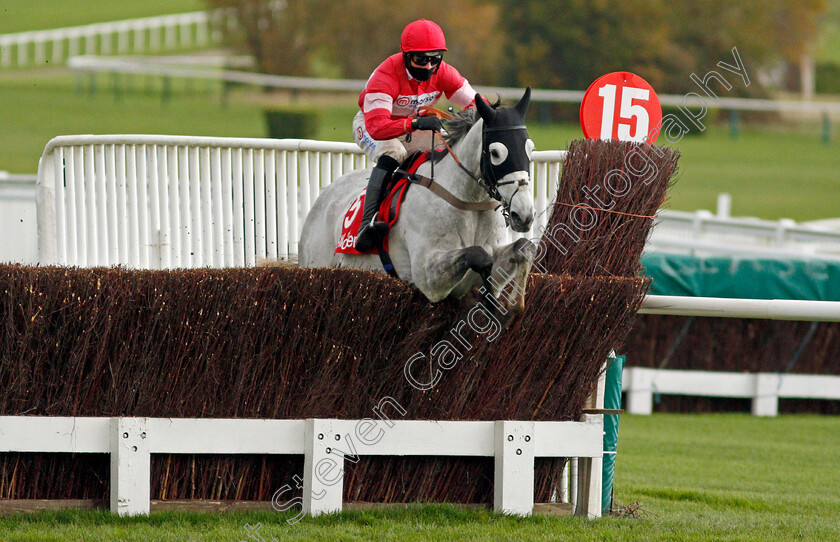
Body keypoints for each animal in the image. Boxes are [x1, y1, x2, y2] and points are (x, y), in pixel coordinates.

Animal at [300, 88, 540, 310]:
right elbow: (478, 255)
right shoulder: (428, 276)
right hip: (318, 263)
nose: (524, 215)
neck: (470, 203)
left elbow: (524, 247)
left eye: (530, 148)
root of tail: (324, 195)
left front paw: (514, 302)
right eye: (496, 153)